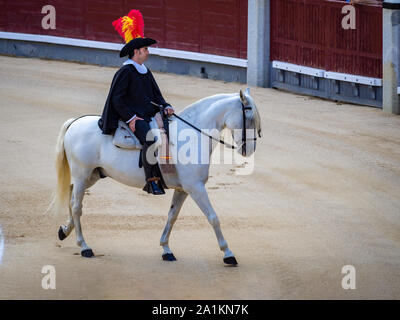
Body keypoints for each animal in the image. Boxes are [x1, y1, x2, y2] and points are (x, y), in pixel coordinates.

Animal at [54, 88, 262, 264]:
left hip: (92, 176)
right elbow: (213, 217)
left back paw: (65, 231)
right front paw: (228, 254)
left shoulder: (183, 189)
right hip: (82, 174)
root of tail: (74, 122)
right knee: (77, 206)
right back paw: (84, 246)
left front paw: (166, 249)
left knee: (72, 197)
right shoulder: (195, 187)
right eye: (250, 116)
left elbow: (172, 215)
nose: (250, 150)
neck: (192, 136)